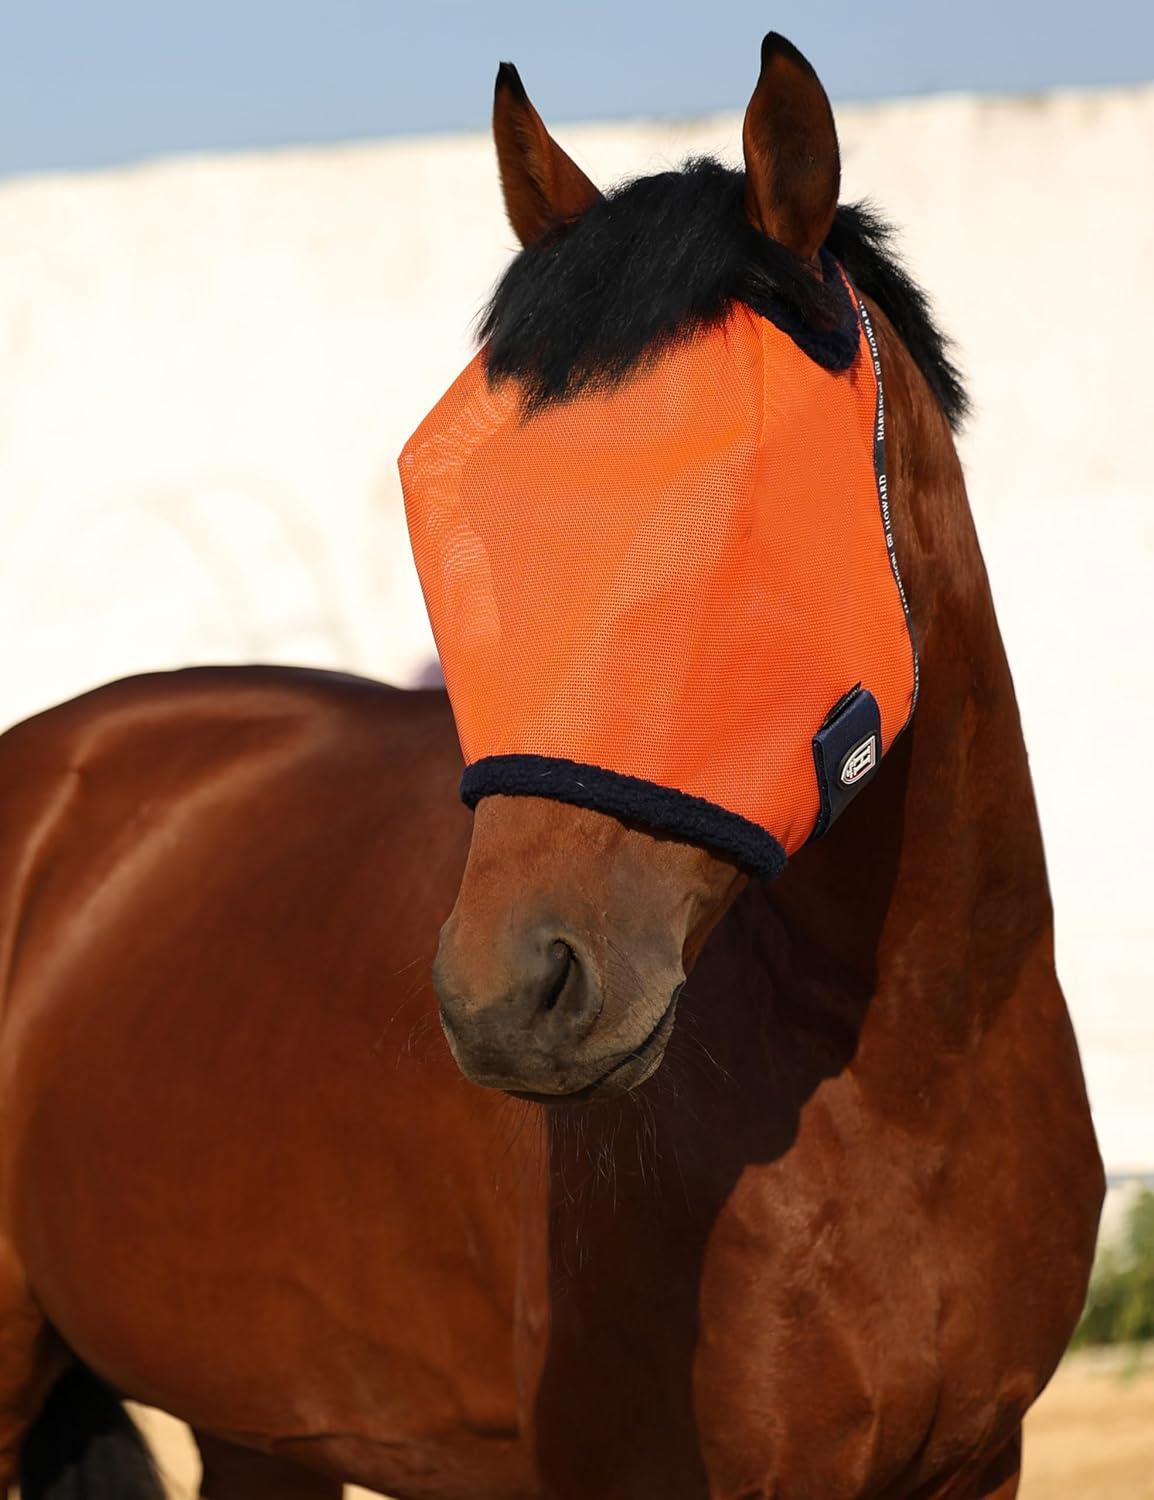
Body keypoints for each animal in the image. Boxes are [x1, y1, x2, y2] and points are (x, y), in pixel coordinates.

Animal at [0, 32, 1102, 1500]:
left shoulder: (975, 1465)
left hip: (259, 1426)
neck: (916, 1075)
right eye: (462, 512)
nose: (505, 996)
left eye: (743, 509)